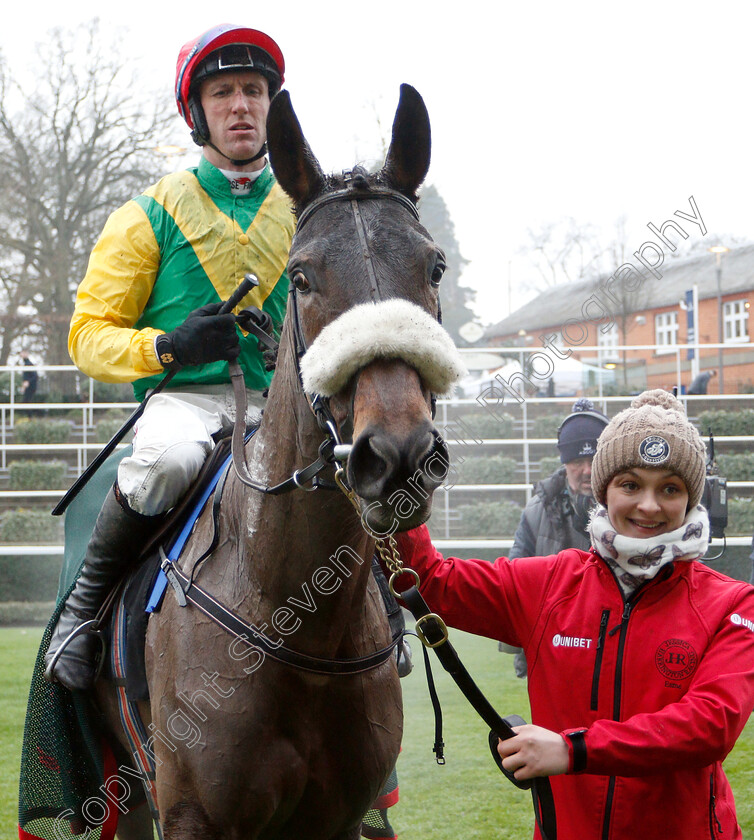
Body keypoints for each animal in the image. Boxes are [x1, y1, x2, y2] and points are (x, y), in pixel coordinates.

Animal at [96, 80, 462, 840]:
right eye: (302, 277)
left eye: (434, 265)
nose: (399, 455)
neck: (292, 614)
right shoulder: (193, 814)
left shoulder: (337, 817)